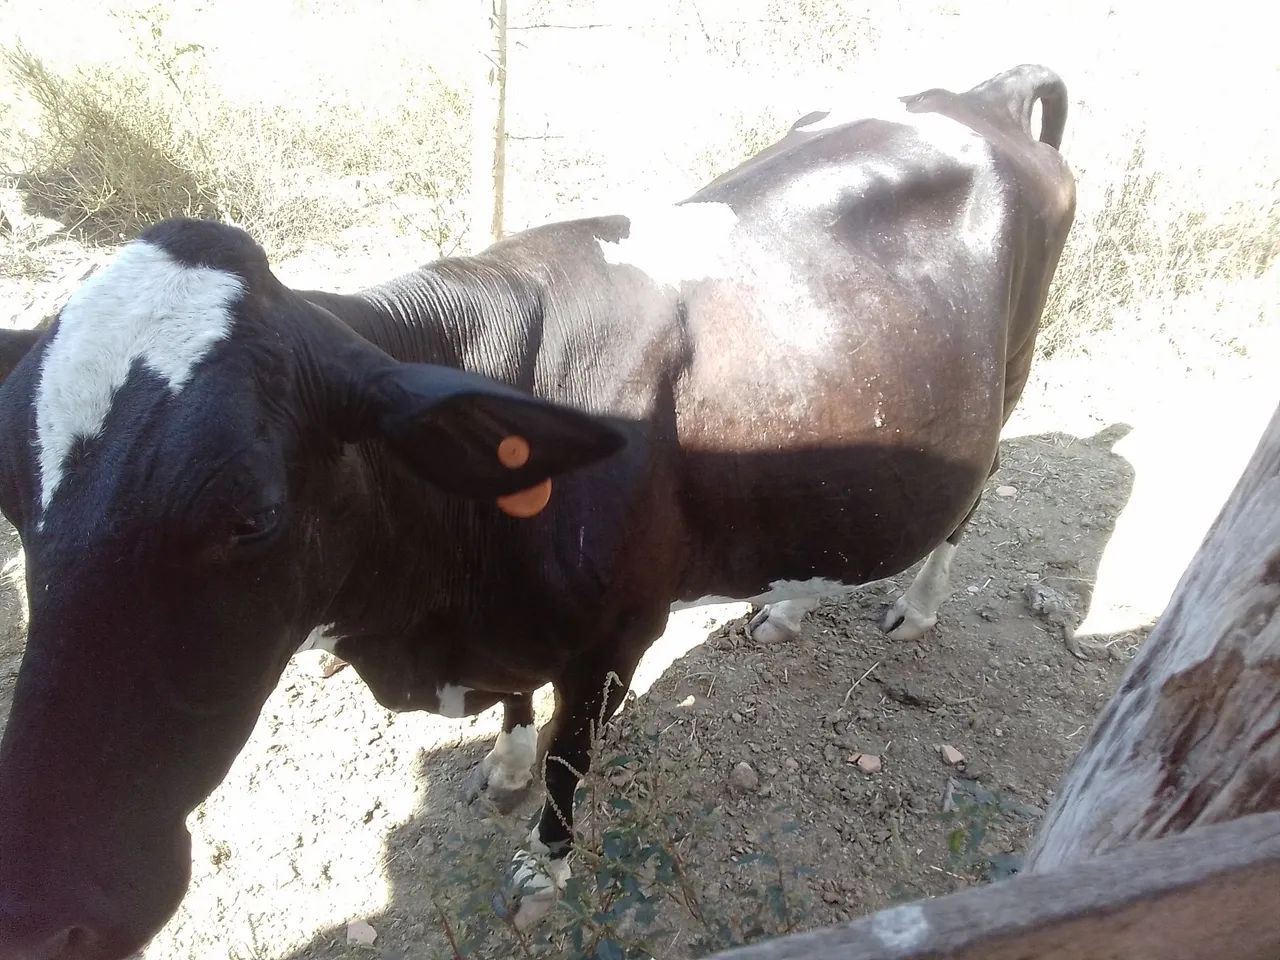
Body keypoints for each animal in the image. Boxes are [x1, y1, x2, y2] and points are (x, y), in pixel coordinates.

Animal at [0, 64, 1074, 959]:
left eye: (252, 517)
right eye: (13, 501)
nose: (45, 909)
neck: (433, 618)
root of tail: (985, 93)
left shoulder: (616, 638)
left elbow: (571, 763)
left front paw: (540, 871)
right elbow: (523, 718)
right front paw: (505, 764)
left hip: (1015, 371)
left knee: (969, 500)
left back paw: (917, 608)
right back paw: (790, 605)